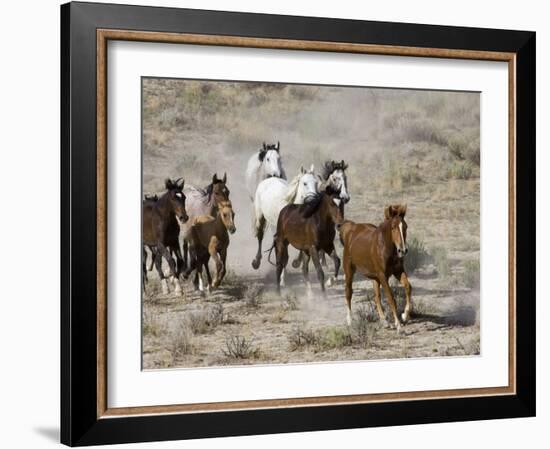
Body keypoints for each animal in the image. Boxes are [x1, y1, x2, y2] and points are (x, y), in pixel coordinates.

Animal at [340, 204, 414, 332]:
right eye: (393, 227)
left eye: (405, 226)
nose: (403, 250)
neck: (385, 247)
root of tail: (351, 228)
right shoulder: (382, 275)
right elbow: (391, 298)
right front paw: (399, 326)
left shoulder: (398, 271)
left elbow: (408, 287)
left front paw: (405, 315)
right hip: (349, 270)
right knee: (348, 292)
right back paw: (350, 321)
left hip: (375, 278)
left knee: (376, 297)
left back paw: (384, 321)